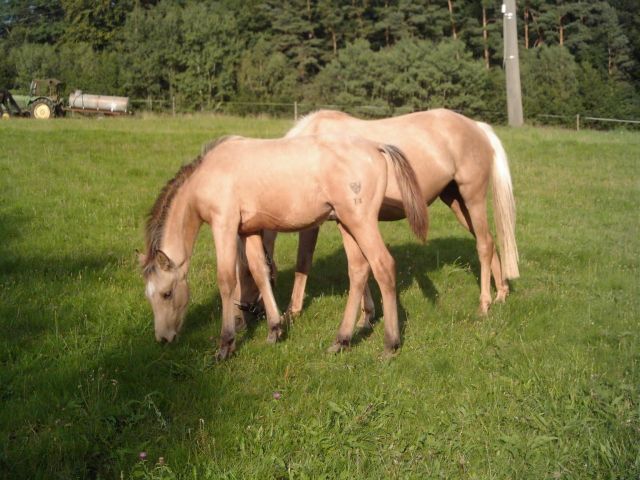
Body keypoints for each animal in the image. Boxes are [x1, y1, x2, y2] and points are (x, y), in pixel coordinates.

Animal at [140, 135, 427, 359]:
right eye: (149, 296)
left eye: (167, 293)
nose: (163, 339)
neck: (208, 174)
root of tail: (377, 146)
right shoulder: (249, 231)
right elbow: (260, 272)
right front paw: (274, 329)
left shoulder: (224, 225)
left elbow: (226, 281)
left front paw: (226, 345)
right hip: (347, 224)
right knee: (358, 270)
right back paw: (342, 340)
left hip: (360, 222)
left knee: (383, 266)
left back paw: (390, 344)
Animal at [245, 108, 519, 325]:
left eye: (247, 271)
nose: (249, 312)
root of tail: (477, 127)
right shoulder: (349, 221)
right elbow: (360, 263)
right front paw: (366, 315)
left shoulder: (319, 223)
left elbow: (305, 261)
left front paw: (292, 311)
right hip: (456, 202)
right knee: (490, 241)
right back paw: (501, 294)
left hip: (472, 199)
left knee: (484, 245)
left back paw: (484, 304)